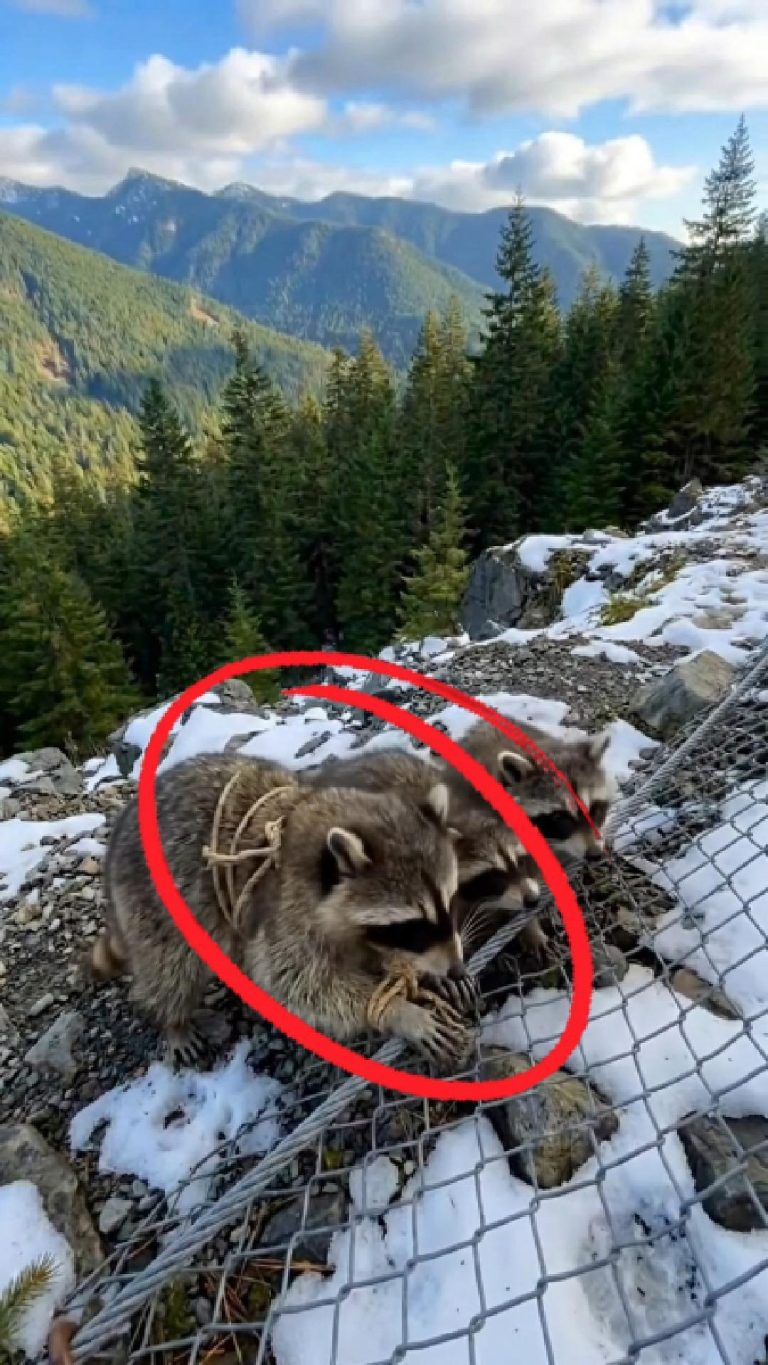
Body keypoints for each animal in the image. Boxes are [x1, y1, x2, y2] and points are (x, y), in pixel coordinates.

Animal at [93, 753, 475, 1070]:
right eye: (414, 926)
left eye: (452, 901)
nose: (456, 968)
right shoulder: (286, 913)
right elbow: (297, 983)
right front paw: (400, 1012)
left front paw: (423, 970)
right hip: (154, 902)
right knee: (171, 966)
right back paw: (173, 1020)